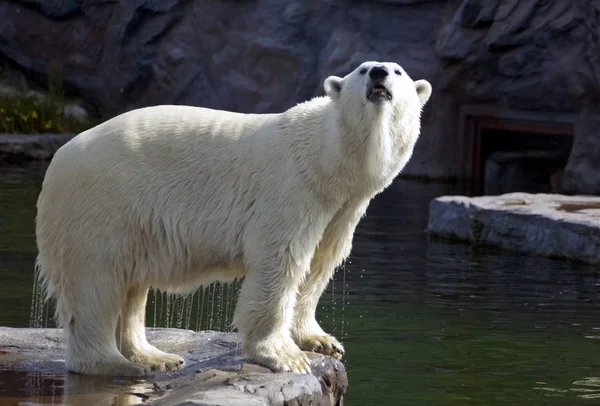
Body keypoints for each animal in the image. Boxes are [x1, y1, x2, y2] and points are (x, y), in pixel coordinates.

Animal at [36, 61, 432, 378]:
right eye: (364, 69)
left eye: (397, 71)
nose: (379, 74)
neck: (326, 158)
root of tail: (58, 157)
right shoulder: (291, 187)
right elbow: (281, 260)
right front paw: (285, 357)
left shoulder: (341, 209)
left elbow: (319, 264)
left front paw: (320, 340)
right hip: (101, 202)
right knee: (97, 281)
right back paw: (114, 364)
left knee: (130, 287)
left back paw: (154, 357)